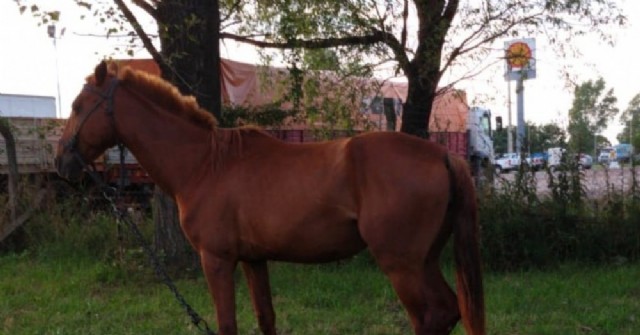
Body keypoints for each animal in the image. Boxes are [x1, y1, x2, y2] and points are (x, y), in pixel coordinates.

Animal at [56, 61, 484, 335]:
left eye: (78, 106)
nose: (62, 162)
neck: (205, 164)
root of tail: (441, 154)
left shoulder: (216, 260)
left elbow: (227, 324)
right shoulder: (253, 260)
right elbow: (266, 318)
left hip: (401, 265)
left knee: (431, 317)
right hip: (424, 260)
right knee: (449, 311)